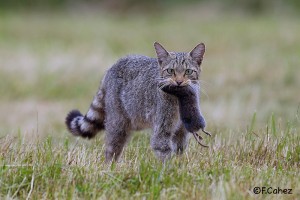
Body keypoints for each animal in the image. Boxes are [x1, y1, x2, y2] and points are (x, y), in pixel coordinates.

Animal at [65, 41, 206, 161]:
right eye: (170, 71)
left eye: (188, 71)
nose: (179, 81)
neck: (179, 99)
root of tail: (111, 68)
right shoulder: (162, 129)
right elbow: (163, 150)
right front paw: (168, 170)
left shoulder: (181, 131)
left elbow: (179, 150)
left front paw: (179, 165)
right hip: (118, 124)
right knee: (111, 150)